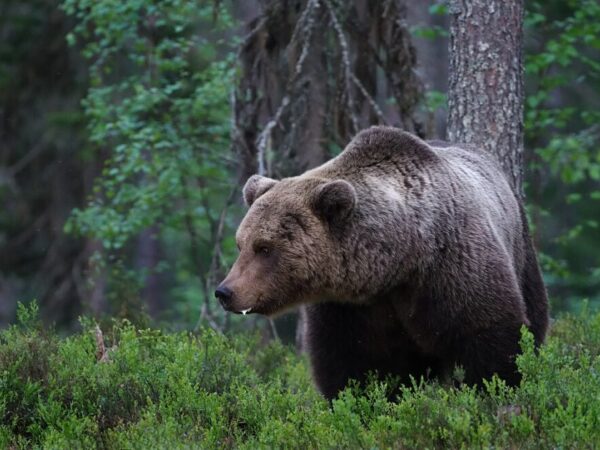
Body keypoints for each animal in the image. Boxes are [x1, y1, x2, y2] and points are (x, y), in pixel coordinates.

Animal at [216, 126, 548, 400]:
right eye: (241, 244)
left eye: (264, 247)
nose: (225, 292)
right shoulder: (349, 308)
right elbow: (349, 366)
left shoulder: (451, 269)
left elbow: (491, 340)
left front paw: (495, 392)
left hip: (522, 251)